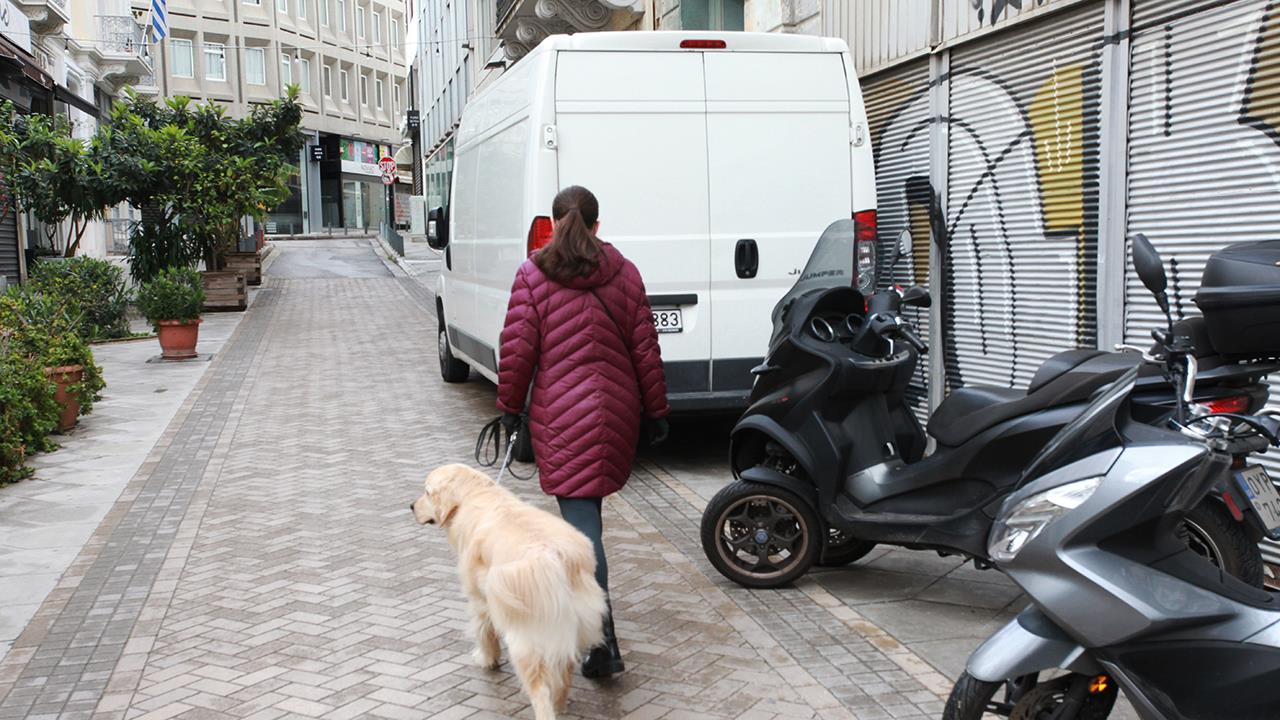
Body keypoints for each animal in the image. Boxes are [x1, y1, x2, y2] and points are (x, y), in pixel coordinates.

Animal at [412, 461, 606, 712]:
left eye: (427, 492)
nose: (411, 506)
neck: (474, 495)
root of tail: (554, 557)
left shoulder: (479, 598)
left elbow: (484, 631)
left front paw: (487, 659)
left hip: (526, 641)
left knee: (541, 690)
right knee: (563, 679)